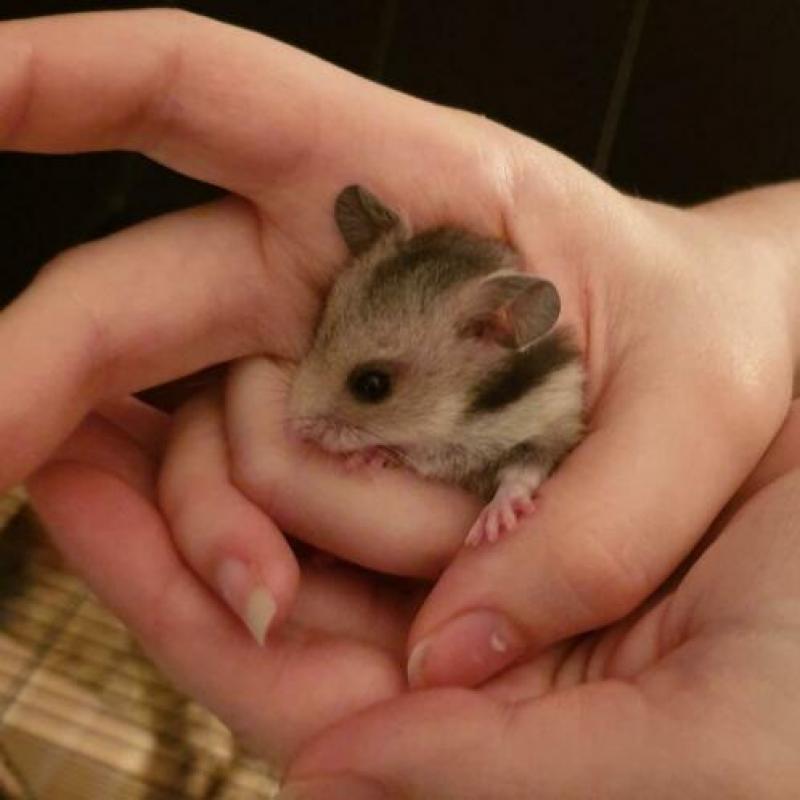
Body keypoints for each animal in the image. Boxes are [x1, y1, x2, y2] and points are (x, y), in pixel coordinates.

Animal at [288, 185, 585, 546]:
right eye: (318, 330)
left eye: (373, 385)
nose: (292, 430)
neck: (455, 421)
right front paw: (370, 456)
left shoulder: (552, 427)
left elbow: (522, 474)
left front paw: (493, 524)